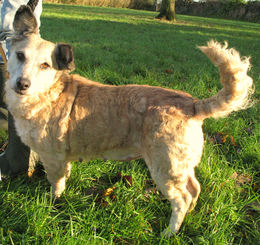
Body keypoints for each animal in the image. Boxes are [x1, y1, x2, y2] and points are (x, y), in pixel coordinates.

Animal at [4, 5, 254, 235]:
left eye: (45, 65)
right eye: (20, 55)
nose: (22, 84)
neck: (48, 92)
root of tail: (192, 104)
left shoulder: (53, 157)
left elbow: (55, 183)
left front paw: (51, 201)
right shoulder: (63, 158)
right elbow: (65, 177)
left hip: (166, 167)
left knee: (182, 198)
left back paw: (170, 231)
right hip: (181, 165)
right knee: (195, 189)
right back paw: (187, 217)